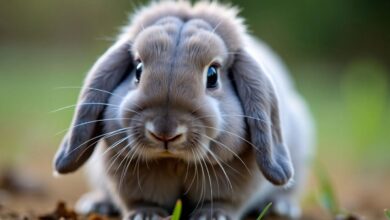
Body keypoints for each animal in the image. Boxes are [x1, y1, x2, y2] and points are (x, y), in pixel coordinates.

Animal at [53, 0, 316, 219]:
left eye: (212, 75)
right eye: (138, 69)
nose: (165, 133)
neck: (174, 161)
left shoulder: (234, 183)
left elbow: (223, 201)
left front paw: (213, 217)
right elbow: (140, 200)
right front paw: (146, 215)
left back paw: (281, 208)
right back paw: (97, 205)